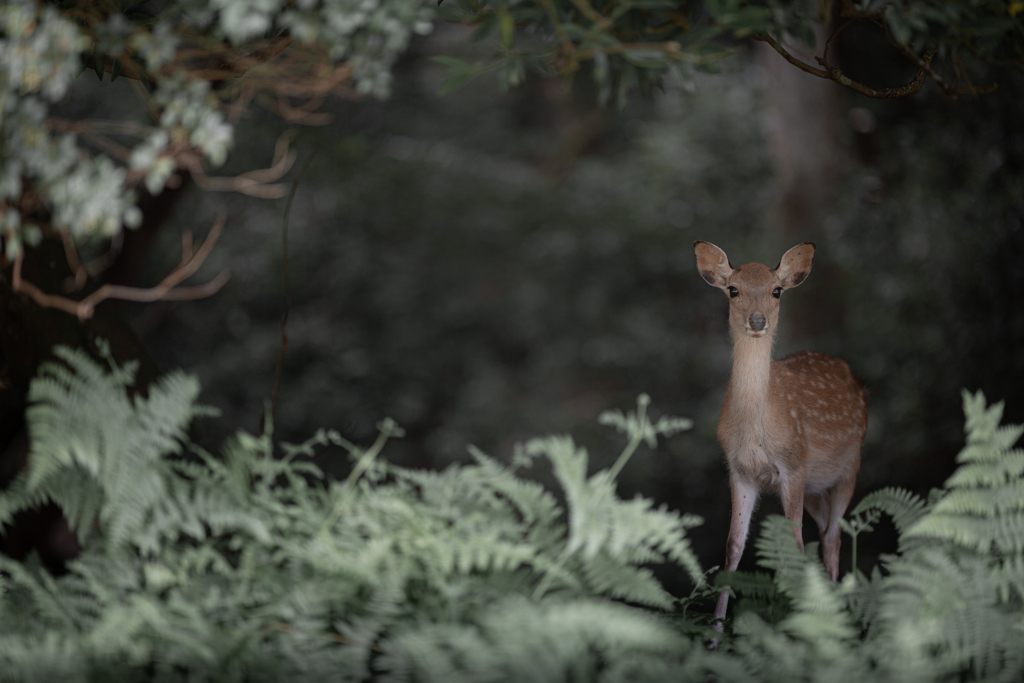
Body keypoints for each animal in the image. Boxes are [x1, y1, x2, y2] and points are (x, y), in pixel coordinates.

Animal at [692, 241, 868, 634]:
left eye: (776, 291)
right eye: (733, 289)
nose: (757, 320)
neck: (757, 430)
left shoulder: (794, 464)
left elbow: (796, 546)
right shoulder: (739, 470)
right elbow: (733, 546)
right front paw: (715, 633)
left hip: (849, 468)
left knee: (832, 537)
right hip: (817, 490)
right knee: (826, 531)